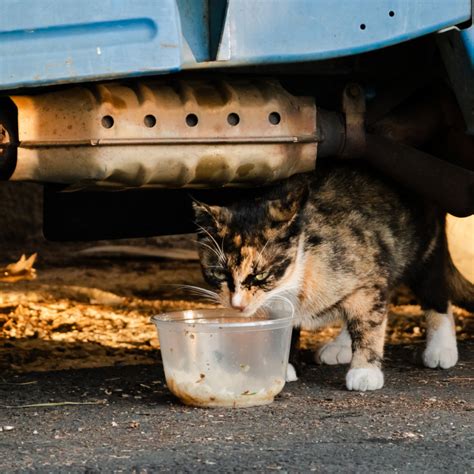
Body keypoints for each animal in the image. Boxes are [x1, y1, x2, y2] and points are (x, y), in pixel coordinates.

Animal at [191, 161, 472, 390]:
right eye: (219, 273)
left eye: (260, 276)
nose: (237, 305)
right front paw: (283, 363)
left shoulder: (366, 268)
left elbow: (369, 320)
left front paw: (365, 370)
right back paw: (341, 346)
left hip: (424, 249)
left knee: (433, 292)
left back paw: (441, 347)